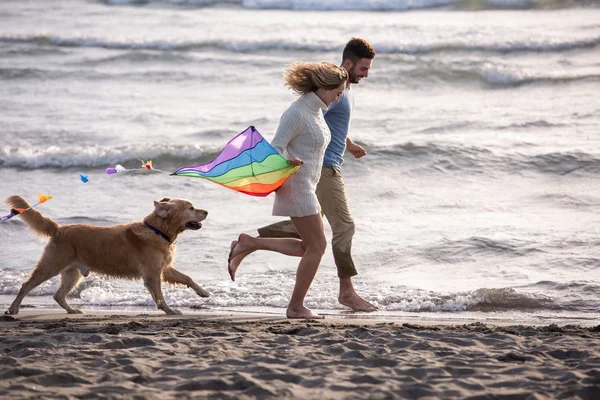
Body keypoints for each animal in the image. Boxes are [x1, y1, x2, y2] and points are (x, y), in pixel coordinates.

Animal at [4, 195, 209, 314]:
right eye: (191, 208)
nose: (206, 211)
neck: (158, 230)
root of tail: (59, 229)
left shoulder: (164, 268)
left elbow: (187, 278)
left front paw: (203, 292)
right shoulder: (152, 273)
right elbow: (159, 295)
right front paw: (169, 310)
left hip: (72, 273)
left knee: (58, 295)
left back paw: (72, 311)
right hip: (50, 266)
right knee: (26, 285)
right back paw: (13, 309)